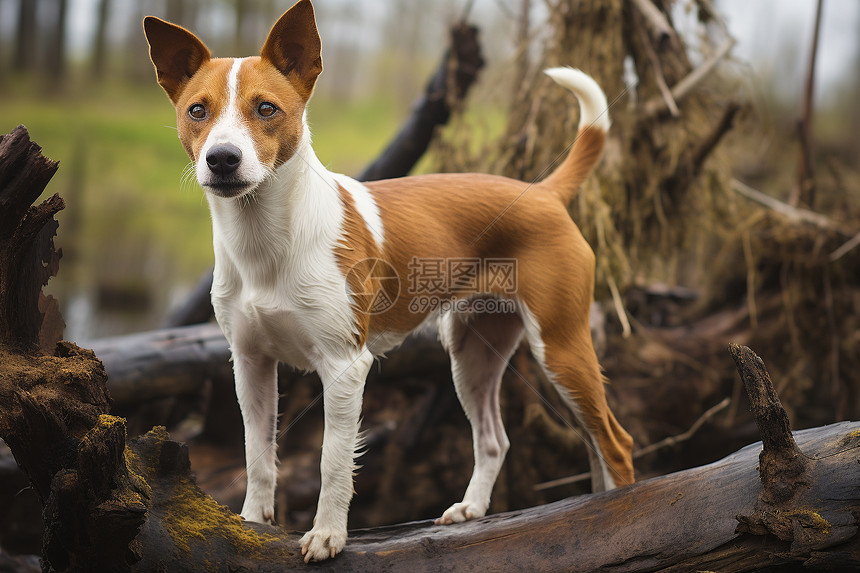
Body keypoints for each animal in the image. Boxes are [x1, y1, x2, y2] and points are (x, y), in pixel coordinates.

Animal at [144, 0, 636, 560]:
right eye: (196, 111)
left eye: (266, 109)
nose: (222, 159)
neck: (266, 242)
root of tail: (543, 192)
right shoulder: (250, 365)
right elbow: (257, 454)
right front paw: (251, 524)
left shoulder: (343, 368)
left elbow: (333, 461)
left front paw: (328, 535)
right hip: (472, 353)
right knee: (500, 439)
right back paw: (477, 508)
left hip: (560, 347)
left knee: (616, 444)